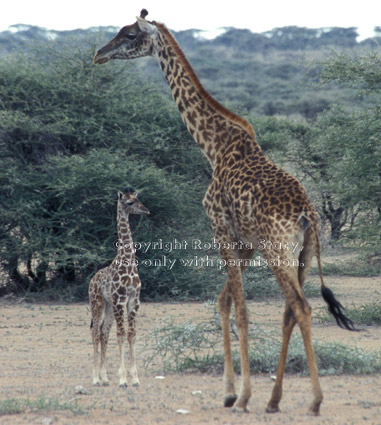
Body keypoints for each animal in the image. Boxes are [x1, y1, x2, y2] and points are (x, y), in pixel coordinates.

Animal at [88, 187, 148, 386]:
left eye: (138, 198)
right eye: (129, 202)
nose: (146, 210)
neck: (128, 261)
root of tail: (92, 280)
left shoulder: (134, 300)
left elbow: (131, 334)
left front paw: (135, 378)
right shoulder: (119, 299)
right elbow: (121, 334)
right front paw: (122, 379)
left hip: (108, 306)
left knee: (103, 332)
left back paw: (105, 378)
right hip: (98, 303)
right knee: (95, 332)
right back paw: (95, 378)